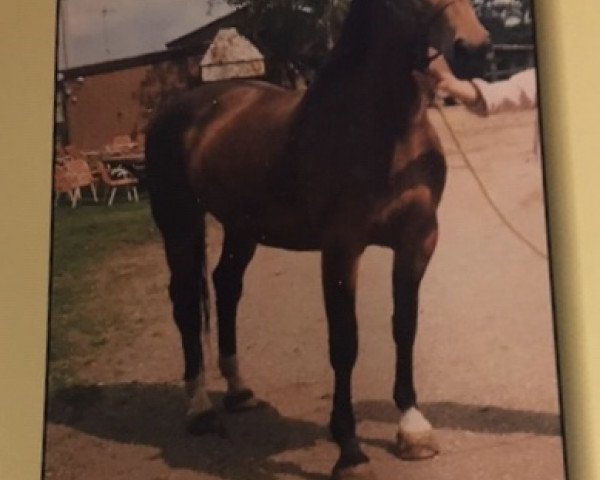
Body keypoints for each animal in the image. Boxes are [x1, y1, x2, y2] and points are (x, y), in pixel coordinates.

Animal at [145, 1, 488, 478]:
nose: (476, 50)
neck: (384, 130)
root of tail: (178, 109)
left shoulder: (418, 240)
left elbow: (405, 327)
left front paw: (412, 428)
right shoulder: (342, 249)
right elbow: (345, 343)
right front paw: (350, 450)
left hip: (241, 229)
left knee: (226, 285)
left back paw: (239, 391)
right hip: (179, 223)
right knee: (185, 306)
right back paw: (199, 408)